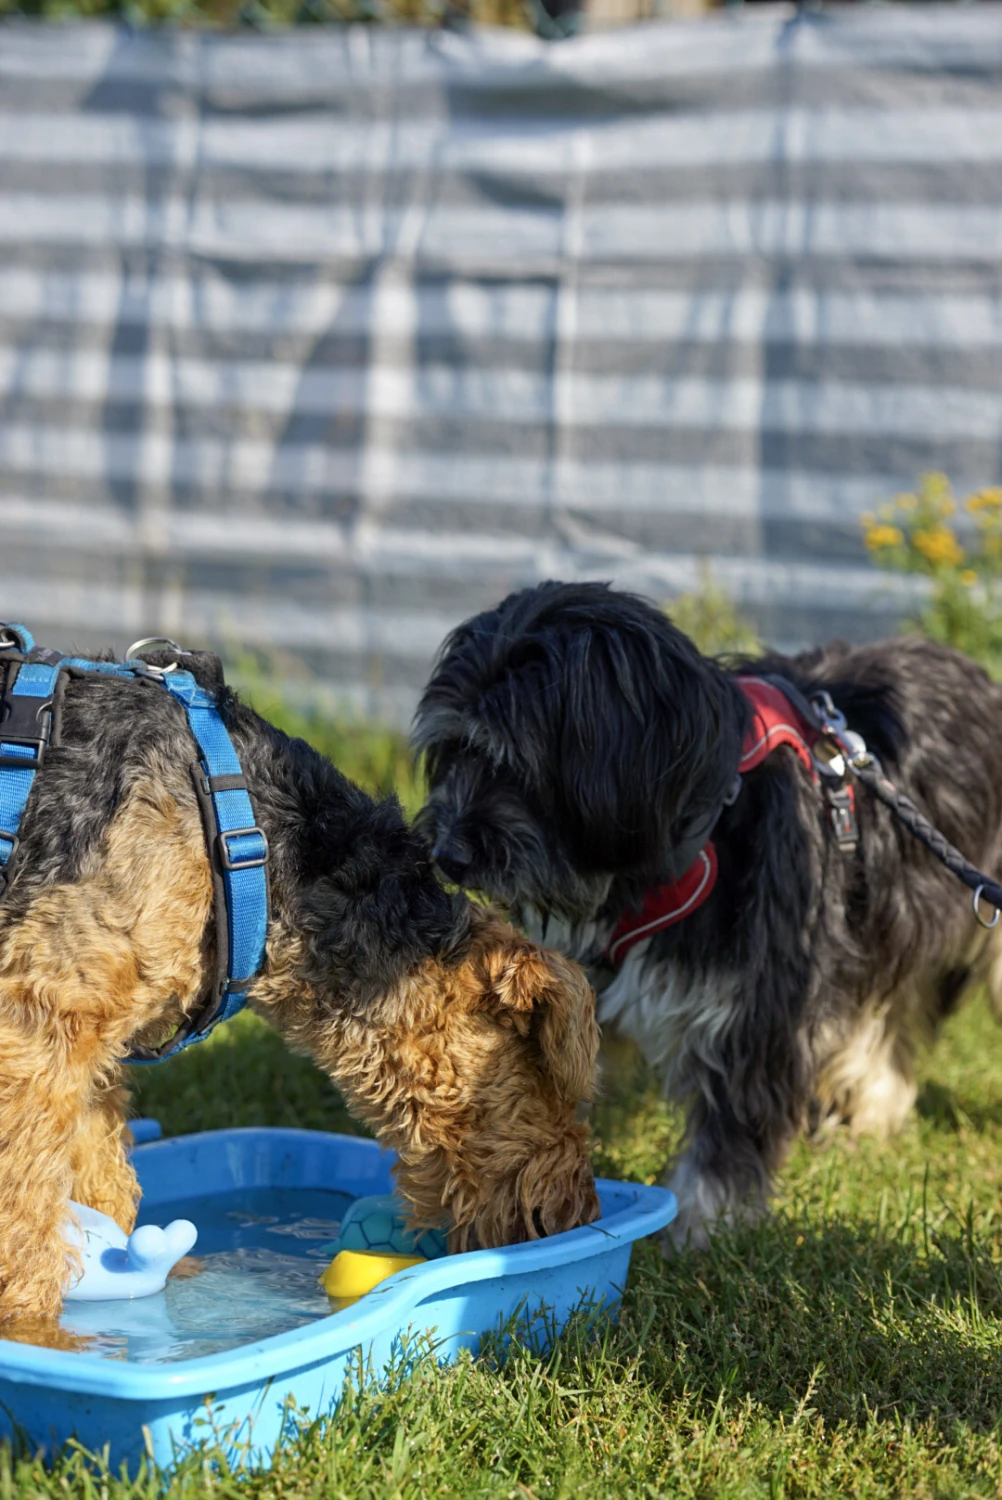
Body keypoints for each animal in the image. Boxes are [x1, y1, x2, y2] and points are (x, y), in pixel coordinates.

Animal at [411, 579, 1002, 1248]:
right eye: (452, 752)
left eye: (512, 765)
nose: (446, 854)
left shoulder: (760, 1007)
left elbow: (731, 1127)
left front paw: (698, 1226)